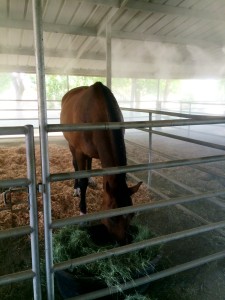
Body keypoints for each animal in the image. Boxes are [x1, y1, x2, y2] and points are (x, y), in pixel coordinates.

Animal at [60, 82, 142, 244]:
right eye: (112, 218)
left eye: (132, 215)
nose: (123, 242)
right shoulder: (79, 152)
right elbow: (82, 179)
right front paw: (82, 213)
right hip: (72, 146)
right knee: (76, 166)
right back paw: (76, 188)